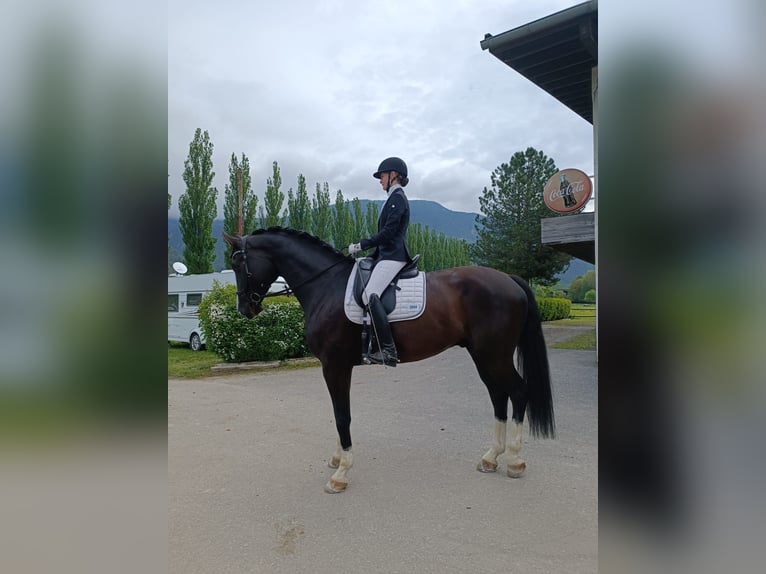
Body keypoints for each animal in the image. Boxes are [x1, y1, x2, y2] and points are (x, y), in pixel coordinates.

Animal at [222, 227, 555, 494]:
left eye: (238, 263)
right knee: (499, 395)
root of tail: (509, 279)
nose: (245, 309)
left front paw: (341, 473)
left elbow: (342, 415)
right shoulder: (336, 366)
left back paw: (515, 461)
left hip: (494, 354)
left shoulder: (334, 365)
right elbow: (338, 413)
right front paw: (337, 459)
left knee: (518, 392)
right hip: (484, 356)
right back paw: (490, 458)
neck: (326, 285)